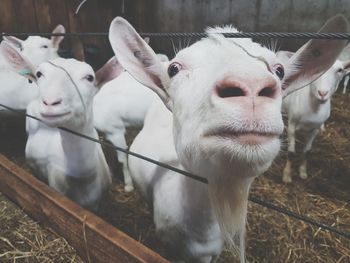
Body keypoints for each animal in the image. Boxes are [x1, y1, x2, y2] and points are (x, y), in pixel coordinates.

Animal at [93, 52, 168, 193]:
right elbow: (109, 154)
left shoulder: (116, 131)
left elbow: (122, 159)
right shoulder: (106, 133)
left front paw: (128, 185)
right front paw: (110, 173)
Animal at [280, 55, 350, 185]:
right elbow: (291, 152)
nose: (322, 93)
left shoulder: (314, 129)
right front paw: (286, 176)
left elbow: (307, 151)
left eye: (340, 70)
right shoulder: (292, 124)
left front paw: (303, 172)